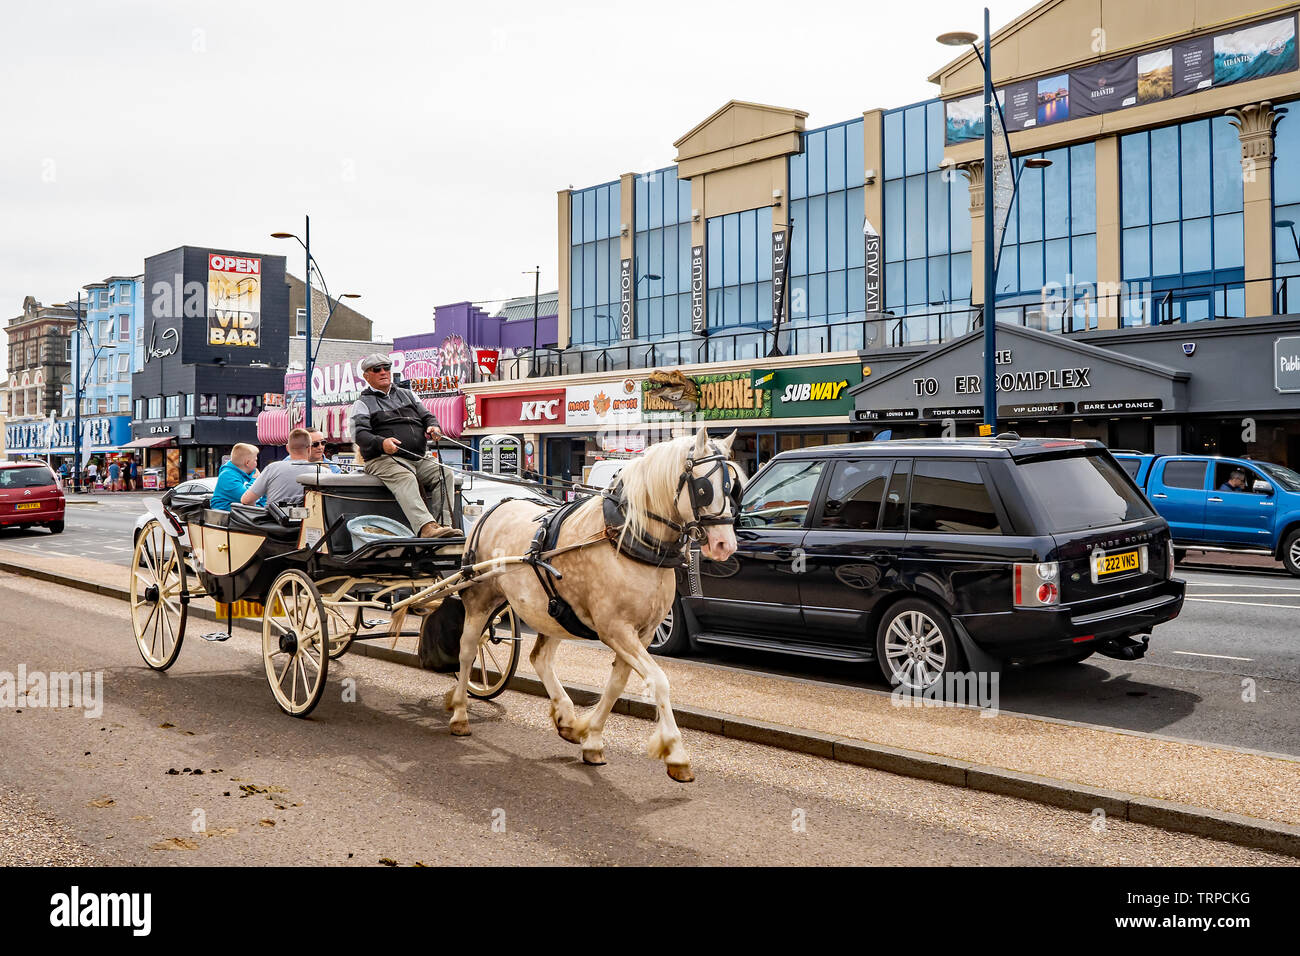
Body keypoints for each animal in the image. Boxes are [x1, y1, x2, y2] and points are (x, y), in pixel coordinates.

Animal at [444, 429, 743, 780]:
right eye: (704, 488)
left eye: (732, 488)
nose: (725, 545)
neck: (626, 538)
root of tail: (492, 510)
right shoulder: (615, 629)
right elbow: (658, 682)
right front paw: (676, 754)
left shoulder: (642, 633)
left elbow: (616, 685)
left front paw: (591, 737)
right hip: (481, 598)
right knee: (467, 650)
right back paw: (460, 714)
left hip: (550, 611)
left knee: (539, 658)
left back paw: (566, 717)